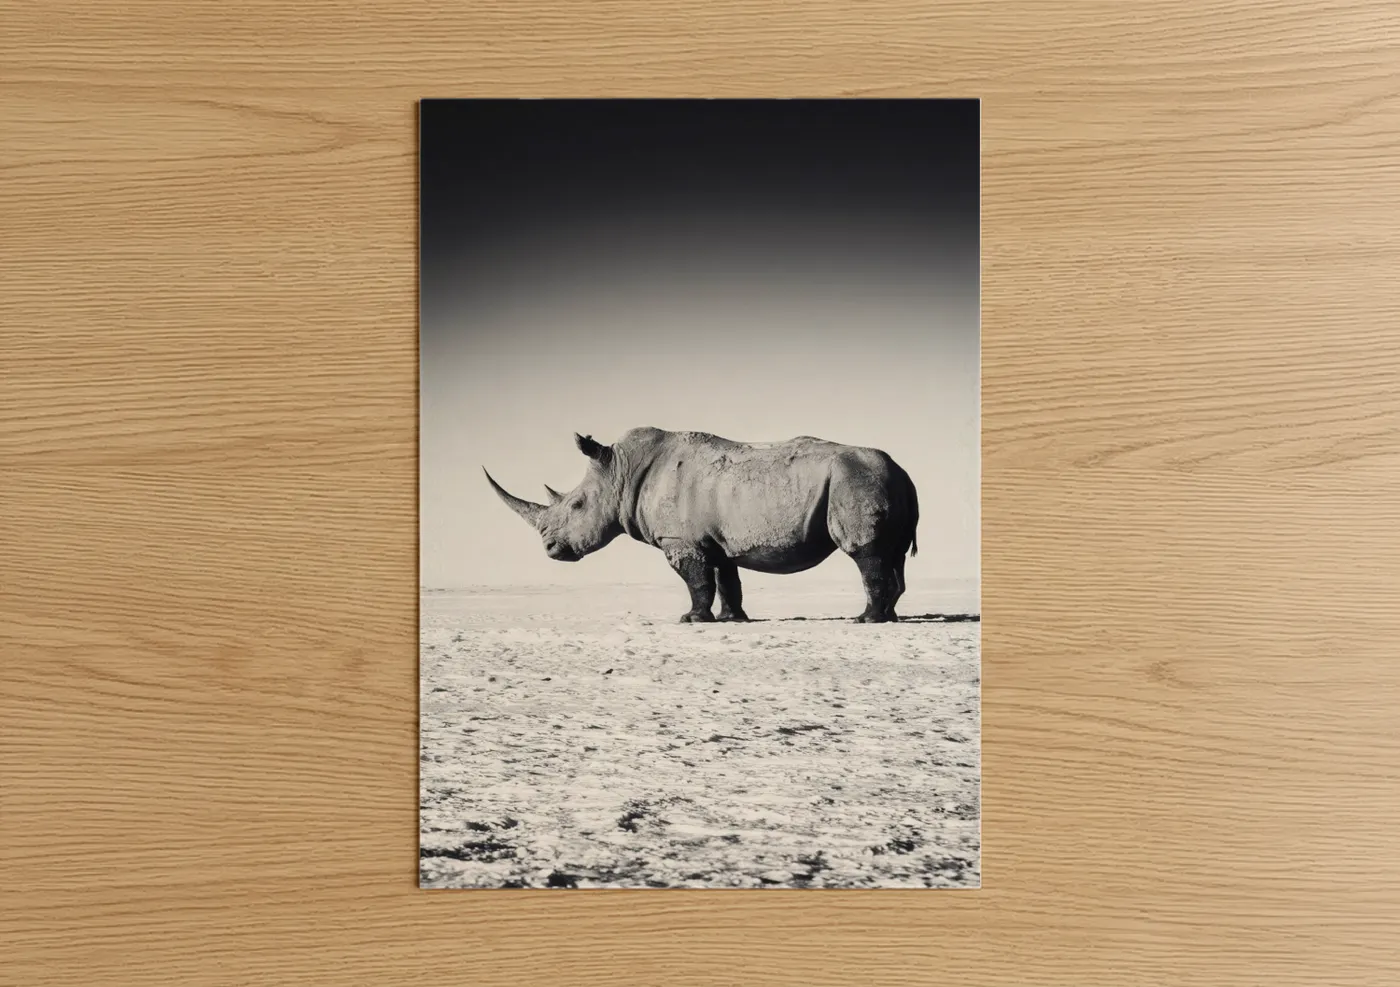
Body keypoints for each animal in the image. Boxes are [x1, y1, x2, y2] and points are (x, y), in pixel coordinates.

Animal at [484, 427, 920, 623]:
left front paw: (691, 619)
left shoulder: (681, 539)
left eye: (576, 505)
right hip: (881, 480)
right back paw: (890, 617)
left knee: (865, 552)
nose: (550, 550)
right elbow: (726, 580)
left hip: (856, 478)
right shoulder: (717, 540)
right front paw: (732, 620)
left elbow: (696, 581)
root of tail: (901, 470)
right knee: (893, 554)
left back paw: (866, 620)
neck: (621, 473)